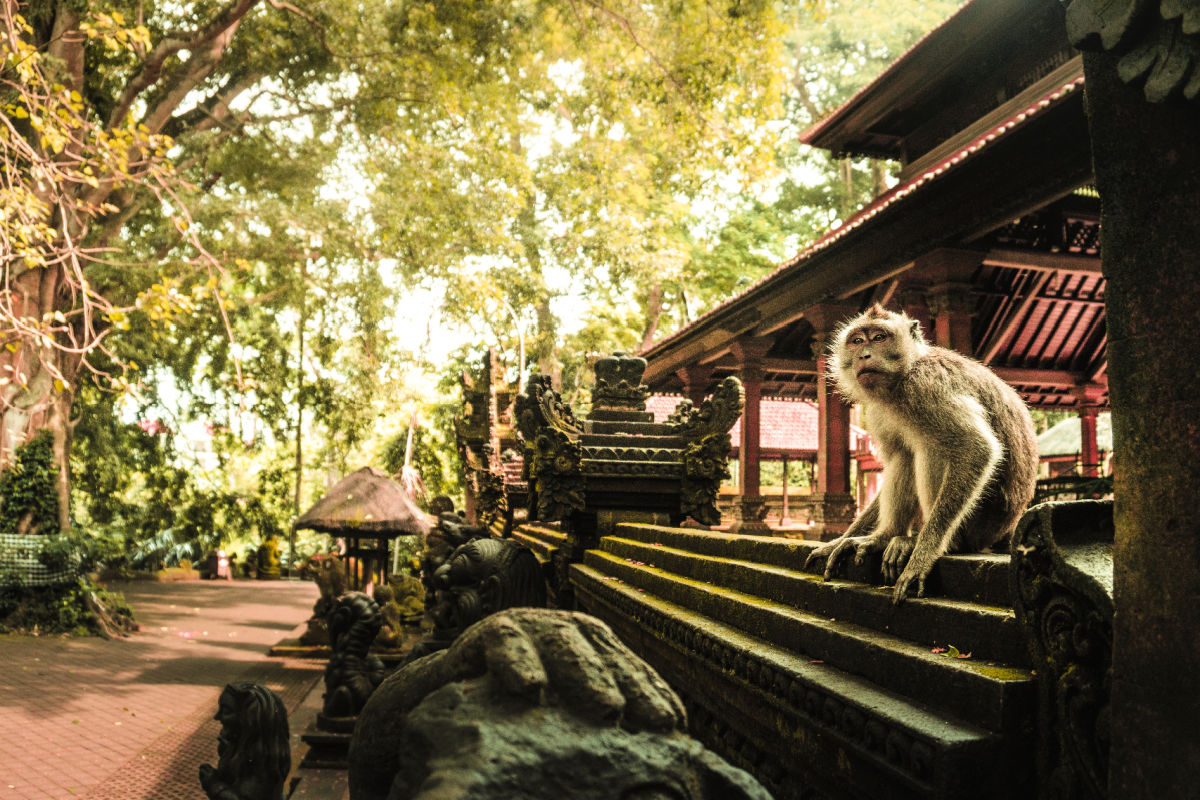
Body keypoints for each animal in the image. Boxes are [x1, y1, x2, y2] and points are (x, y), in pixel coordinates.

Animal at [806, 303, 1041, 604]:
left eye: (879, 338)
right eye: (857, 341)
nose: (864, 355)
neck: (902, 378)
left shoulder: (927, 389)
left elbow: (975, 447)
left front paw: (924, 554)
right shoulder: (878, 410)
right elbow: (898, 456)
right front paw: (838, 541)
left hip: (982, 523)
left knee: (933, 448)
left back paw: (932, 543)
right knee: (904, 456)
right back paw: (886, 536)